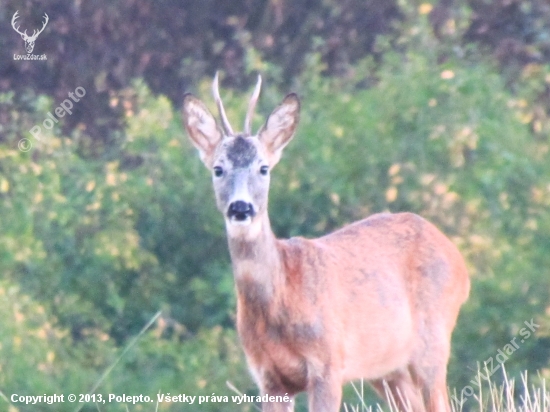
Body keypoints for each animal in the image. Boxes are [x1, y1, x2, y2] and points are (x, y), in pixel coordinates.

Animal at [183, 74, 472, 412]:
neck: (281, 298)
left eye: (263, 168)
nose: (241, 208)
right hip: (386, 368)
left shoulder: (328, 363)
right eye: (218, 169)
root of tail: (458, 258)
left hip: (433, 339)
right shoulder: (267, 376)